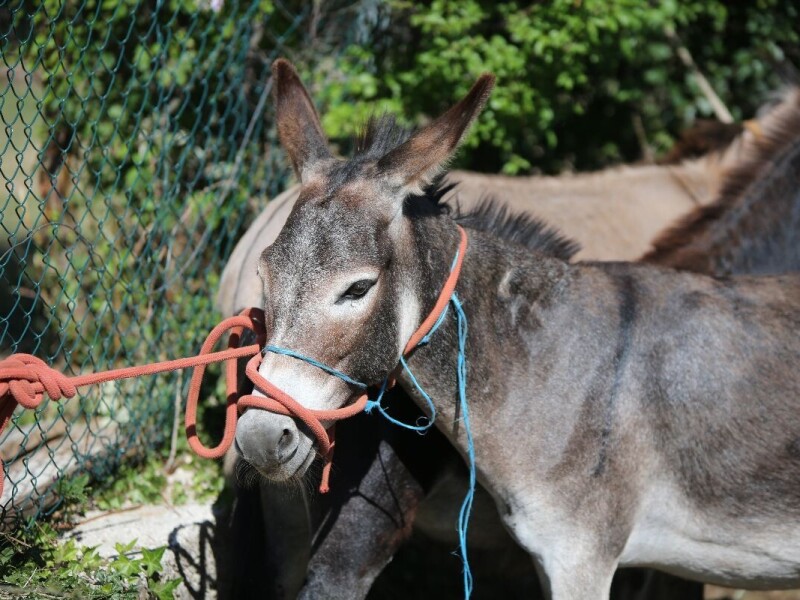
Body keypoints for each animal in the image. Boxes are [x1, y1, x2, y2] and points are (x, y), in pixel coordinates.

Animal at [233, 60, 800, 600]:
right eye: (266, 276)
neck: (539, 360)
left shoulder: (581, 558)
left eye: (357, 288)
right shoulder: (571, 559)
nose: (261, 437)